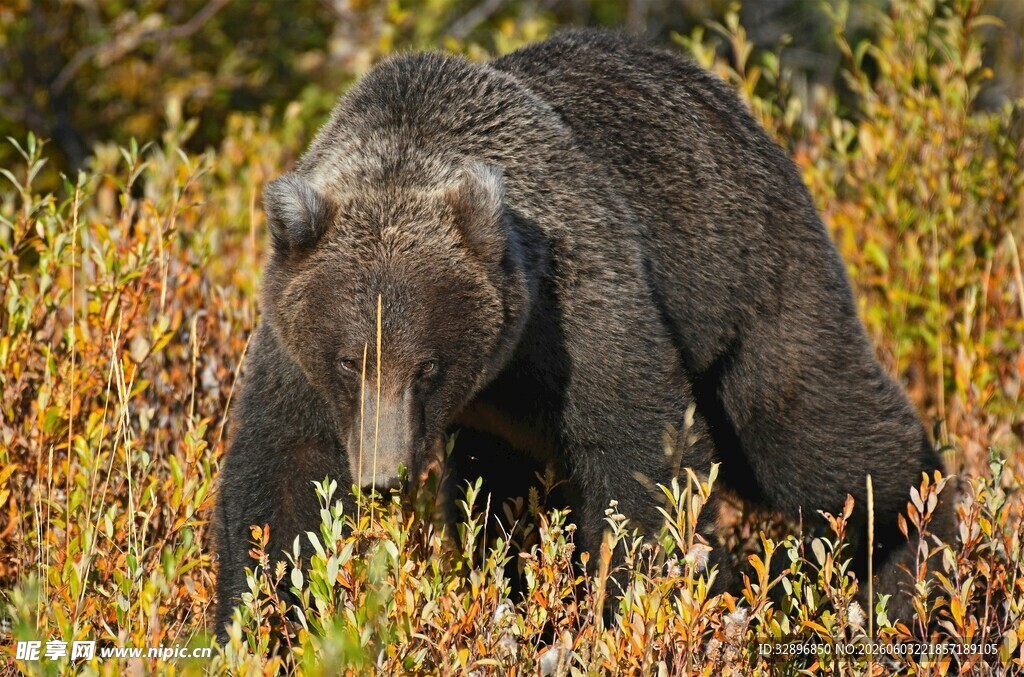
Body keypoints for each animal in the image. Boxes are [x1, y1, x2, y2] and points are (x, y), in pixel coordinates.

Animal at [213, 29, 956, 640]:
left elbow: (642, 452)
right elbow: (281, 473)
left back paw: (917, 564)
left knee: (812, 440)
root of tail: (739, 108)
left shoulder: (579, 298)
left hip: (753, 286)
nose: (381, 473)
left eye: (426, 366)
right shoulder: (293, 343)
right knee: (496, 498)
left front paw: (626, 608)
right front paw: (255, 626)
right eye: (348, 360)